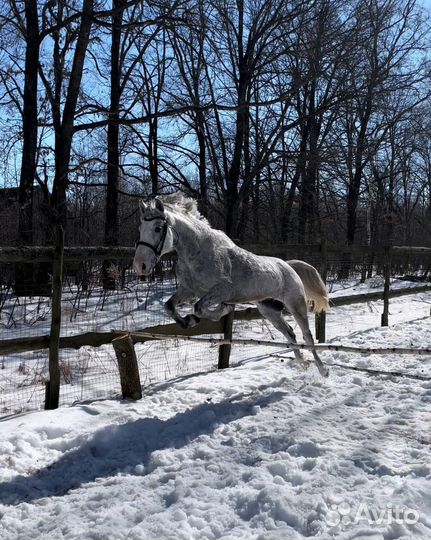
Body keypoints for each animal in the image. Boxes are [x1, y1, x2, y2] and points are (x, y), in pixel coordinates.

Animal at [133, 193, 330, 376]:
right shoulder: (188, 290)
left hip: (296, 305)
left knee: (307, 335)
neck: (197, 252)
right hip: (269, 310)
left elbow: (200, 308)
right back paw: (302, 363)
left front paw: (200, 316)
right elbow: (170, 306)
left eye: (158, 228)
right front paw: (187, 321)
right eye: (140, 228)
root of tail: (288, 266)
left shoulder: (221, 291)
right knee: (289, 333)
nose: (140, 266)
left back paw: (322, 370)